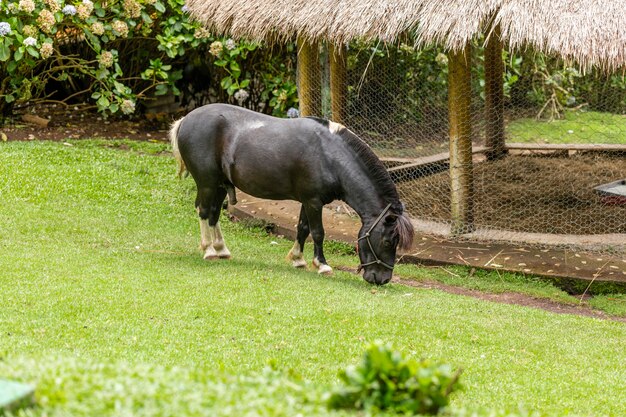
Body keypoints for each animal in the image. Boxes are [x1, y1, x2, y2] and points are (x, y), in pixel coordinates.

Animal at [169, 104, 414, 286]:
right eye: (387, 241)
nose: (382, 279)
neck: (329, 155)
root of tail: (185, 120)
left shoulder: (309, 200)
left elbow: (302, 228)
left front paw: (298, 259)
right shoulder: (314, 202)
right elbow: (318, 233)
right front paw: (322, 265)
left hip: (220, 185)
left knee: (213, 214)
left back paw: (221, 249)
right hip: (207, 183)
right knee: (204, 212)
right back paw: (209, 250)